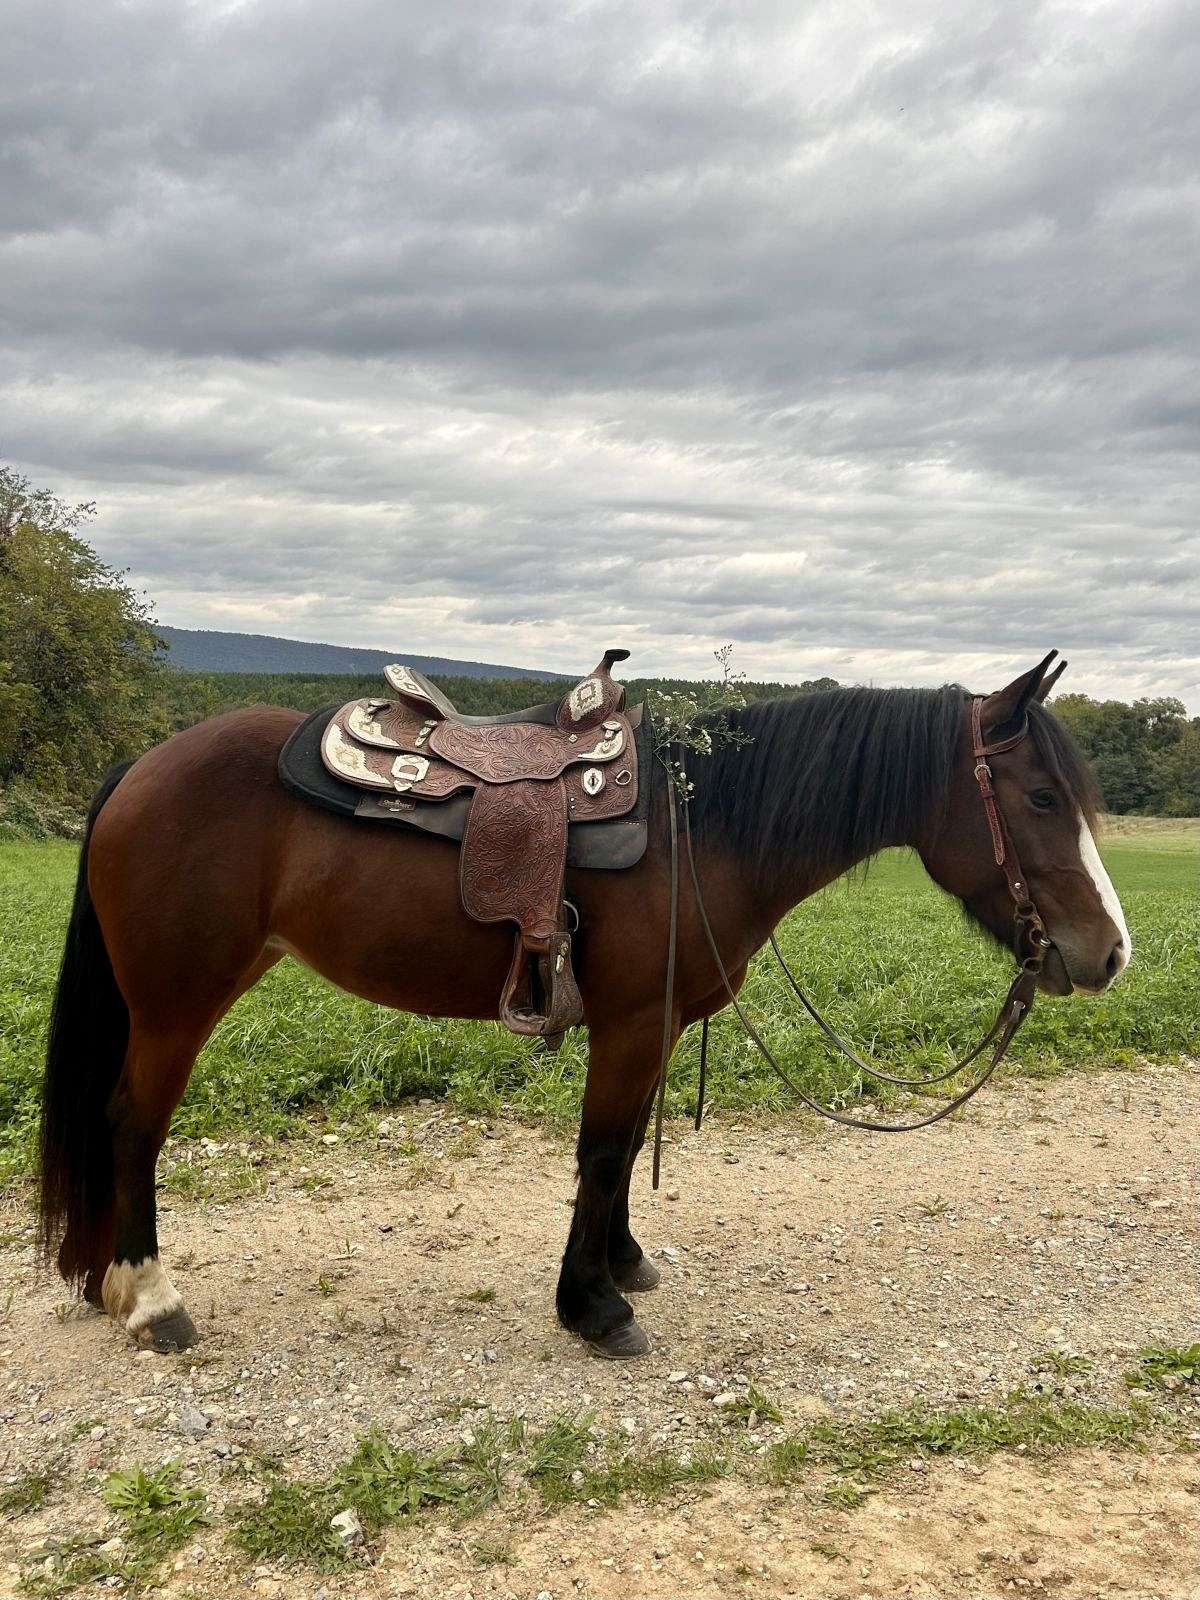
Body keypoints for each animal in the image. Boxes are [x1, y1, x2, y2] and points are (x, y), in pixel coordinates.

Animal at [35, 652, 1126, 1363]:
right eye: (1040, 798)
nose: (1109, 952)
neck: (703, 826)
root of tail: (142, 767)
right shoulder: (633, 1020)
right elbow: (602, 1151)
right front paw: (592, 1307)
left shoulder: (658, 1023)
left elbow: (628, 1144)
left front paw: (624, 1263)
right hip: (177, 1003)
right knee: (132, 1125)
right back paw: (154, 1300)